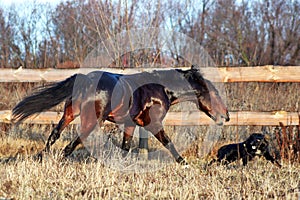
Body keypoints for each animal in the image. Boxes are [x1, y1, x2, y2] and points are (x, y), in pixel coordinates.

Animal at [11, 65, 230, 164]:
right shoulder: (153, 123)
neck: (161, 90)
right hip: (91, 120)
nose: (226, 116)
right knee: (72, 143)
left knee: (54, 135)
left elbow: (126, 146)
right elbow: (168, 142)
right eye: (215, 94)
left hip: (69, 113)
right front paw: (183, 163)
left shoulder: (131, 123)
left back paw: (41, 157)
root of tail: (86, 80)